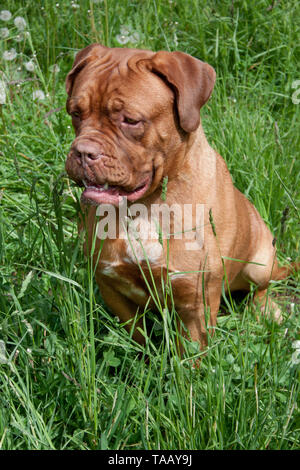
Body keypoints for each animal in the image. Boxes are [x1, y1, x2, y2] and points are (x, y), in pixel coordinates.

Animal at [64, 44, 296, 350]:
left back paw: (267, 311)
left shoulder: (194, 303)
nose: (83, 152)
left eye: (131, 120)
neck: (145, 207)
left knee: (260, 289)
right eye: (75, 113)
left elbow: (188, 355)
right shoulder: (111, 288)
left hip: (260, 262)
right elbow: (138, 338)